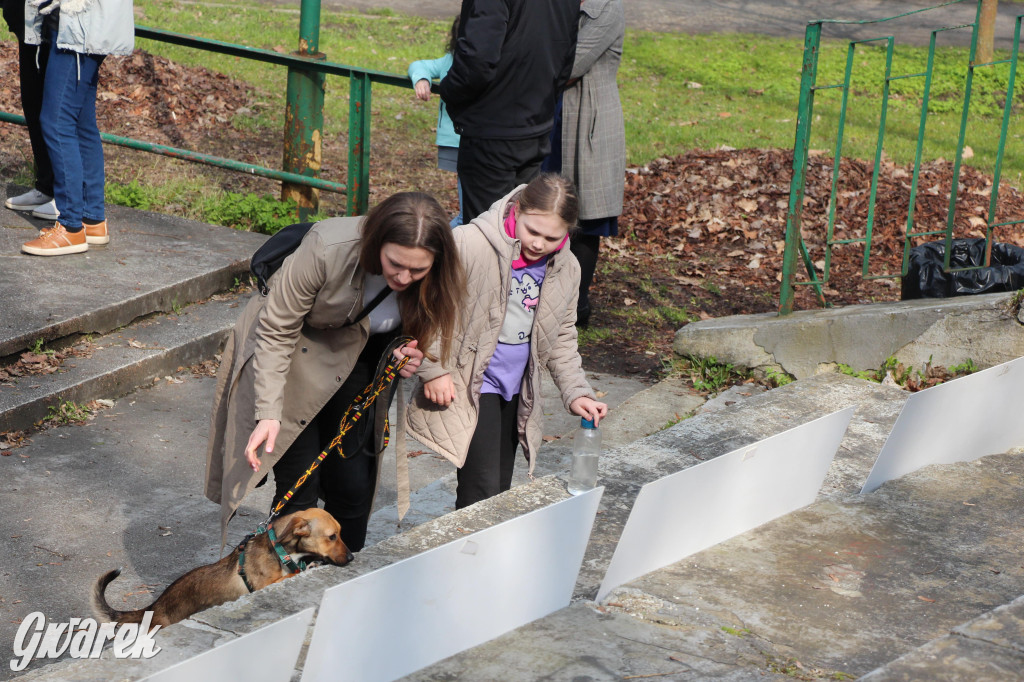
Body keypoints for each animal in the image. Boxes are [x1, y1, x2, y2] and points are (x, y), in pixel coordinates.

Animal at [93, 507, 356, 622]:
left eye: (341, 533)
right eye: (332, 537)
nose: (352, 557)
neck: (281, 551)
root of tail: (155, 606)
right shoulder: (262, 586)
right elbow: (287, 576)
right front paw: (306, 568)